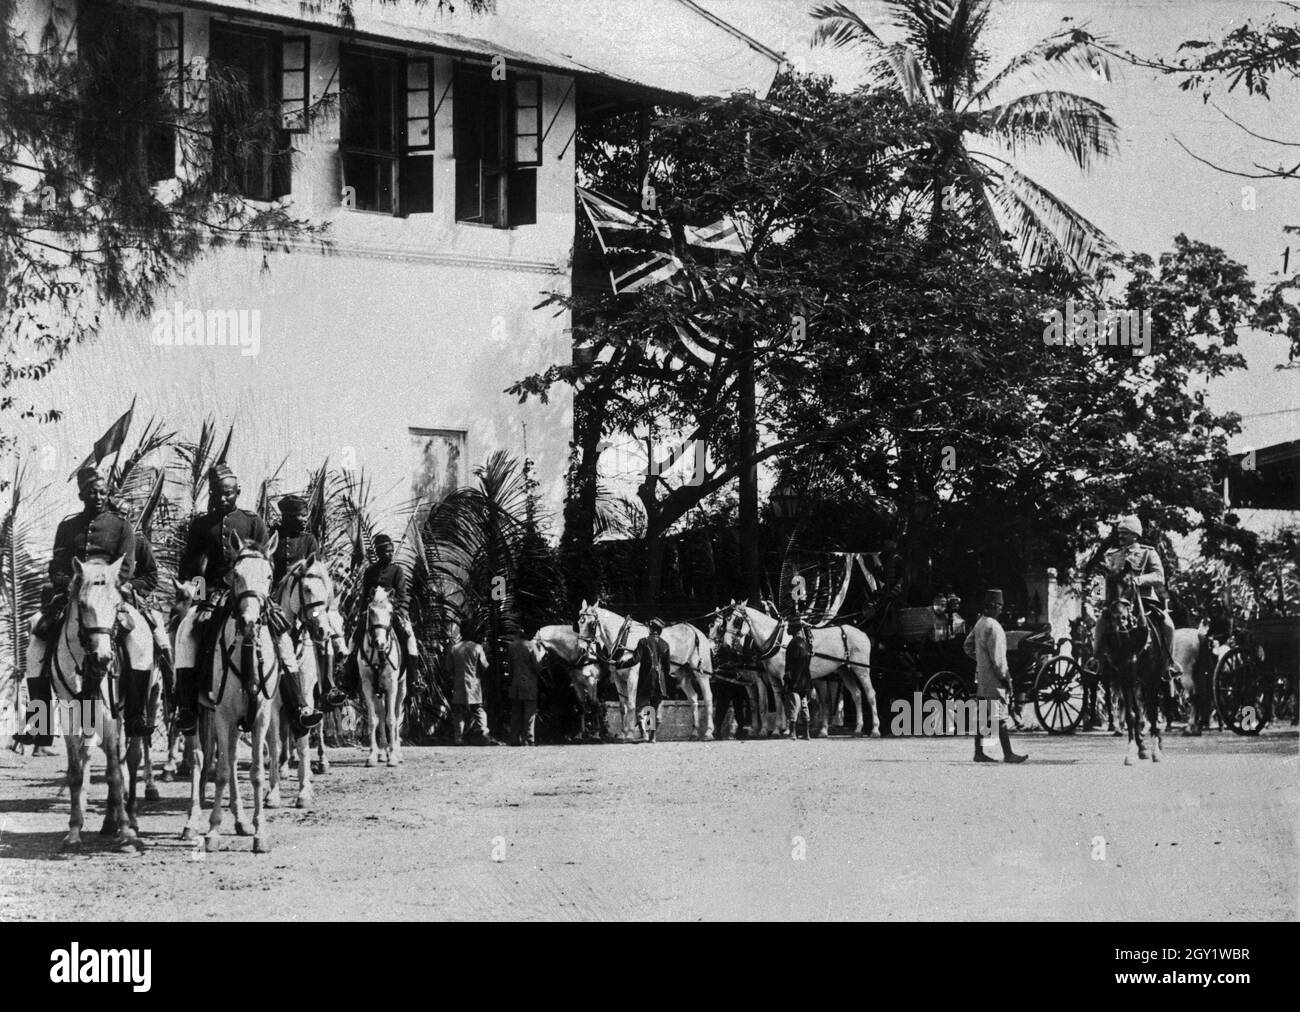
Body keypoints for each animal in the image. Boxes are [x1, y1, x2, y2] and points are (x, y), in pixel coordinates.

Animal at [47, 556, 156, 848]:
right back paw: (109, 821)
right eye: (83, 605)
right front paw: (74, 831)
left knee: (131, 759)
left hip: (139, 710)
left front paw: (126, 833)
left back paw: (130, 818)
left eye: (117, 605)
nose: (103, 658)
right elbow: (76, 773)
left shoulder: (110, 716)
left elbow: (115, 773)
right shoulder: (70, 715)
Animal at [353, 582, 403, 764]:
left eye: (390, 612)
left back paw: (396, 751)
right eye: (371, 611)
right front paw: (373, 755)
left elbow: (391, 719)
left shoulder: (392, 686)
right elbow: (373, 720)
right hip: (378, 691)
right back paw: (383, 751)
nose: (380, 643)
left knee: (396, 713)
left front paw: (393, 757)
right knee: (381, 714)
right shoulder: (367, 687)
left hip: (401, 688)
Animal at [577, 598, 717, 738]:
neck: (624, 637)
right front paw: (624, 733)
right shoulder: (618, 678)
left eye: (592, 624)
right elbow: (623, 707)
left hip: (701, 673)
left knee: (708, 697)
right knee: (693, 698)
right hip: (682, 675)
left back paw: (708, 732)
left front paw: (630, 733)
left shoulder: (633, 676)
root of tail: (698, 632)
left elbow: (631, 704)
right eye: (579, 622)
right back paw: (694, 731)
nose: (582, 649)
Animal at [717, 598, 878, 733]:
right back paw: (858, 727)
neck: (777, 639)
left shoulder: (783, 676)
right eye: (726, 621)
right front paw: (777, 730)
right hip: (845, 670)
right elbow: (778, 701)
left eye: (737, 621)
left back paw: (874, 729)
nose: (725, 645)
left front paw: (787, 729)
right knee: (856, 695)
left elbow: (787, 700)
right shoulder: (772, 678)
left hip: (861, 669)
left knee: (870, 694)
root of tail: (862, 633)